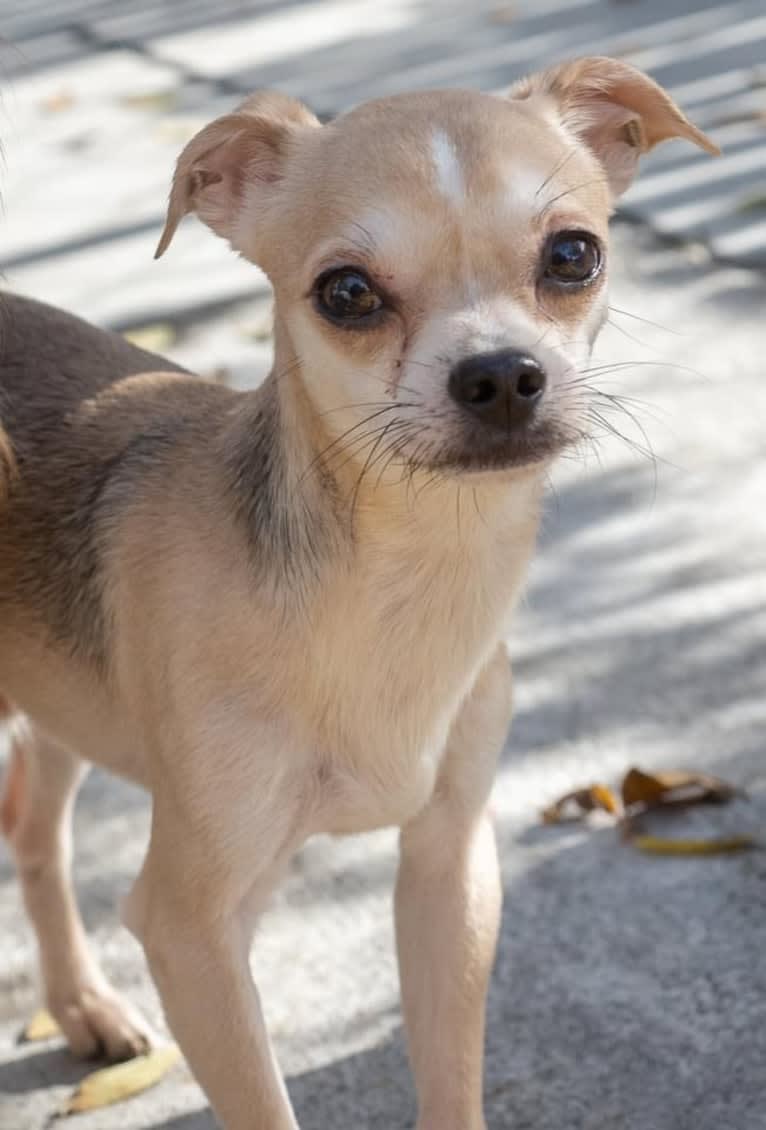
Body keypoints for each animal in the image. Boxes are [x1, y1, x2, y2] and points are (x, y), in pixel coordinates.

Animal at [3, 57, 718, 1125]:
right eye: (345, 292)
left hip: (61, 706)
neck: (395, 586)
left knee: (36, 831)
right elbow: (267, 1106)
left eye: (573, 255)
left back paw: (80, 1003)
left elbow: (451, 1077)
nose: (501, 374)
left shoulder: (449, 865)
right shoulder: (194, 928)